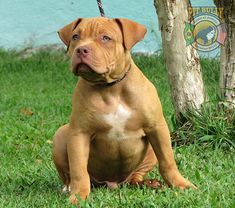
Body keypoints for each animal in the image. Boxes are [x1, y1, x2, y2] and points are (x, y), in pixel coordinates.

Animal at [52, 17, 195, 204]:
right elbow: (79, 170)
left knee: (136, 176)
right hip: (61, 135)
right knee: (69, 176)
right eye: (75, 36)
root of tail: (113, 184)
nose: (81, 49)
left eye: (105, 38)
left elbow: (167, 161)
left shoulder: (157, 127)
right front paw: (78, 196)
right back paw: (68, 189)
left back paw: (148, 183)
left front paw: (180, 184)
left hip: (150, 150)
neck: (111, 88)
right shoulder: (79, 133)